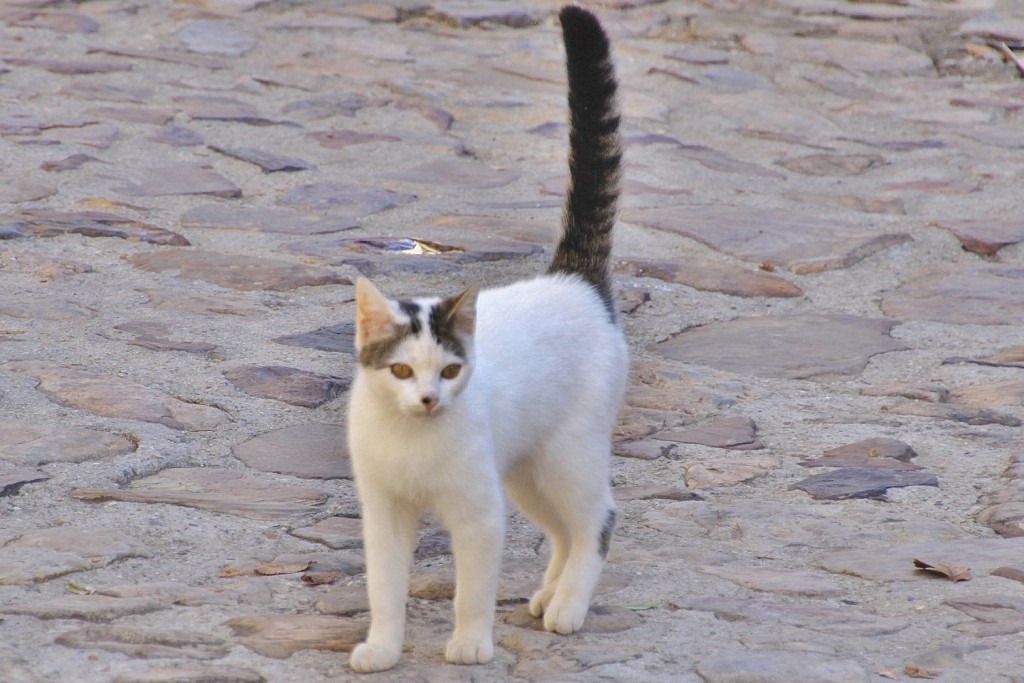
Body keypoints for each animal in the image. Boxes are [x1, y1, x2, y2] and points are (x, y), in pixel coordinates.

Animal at [348, 6, 626, 671]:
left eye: (449, 370)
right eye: (401, 371)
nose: (429, 399)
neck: (412, 439)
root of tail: (571, 279)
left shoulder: (478, 514)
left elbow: (472, 588)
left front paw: (471, 644)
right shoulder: (384, 514)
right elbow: (385, 586)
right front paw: (383, 647)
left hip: (567, 457)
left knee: (596, 520)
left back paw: (569, 606)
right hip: (527, 472)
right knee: (562, 530)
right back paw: (549, 593)